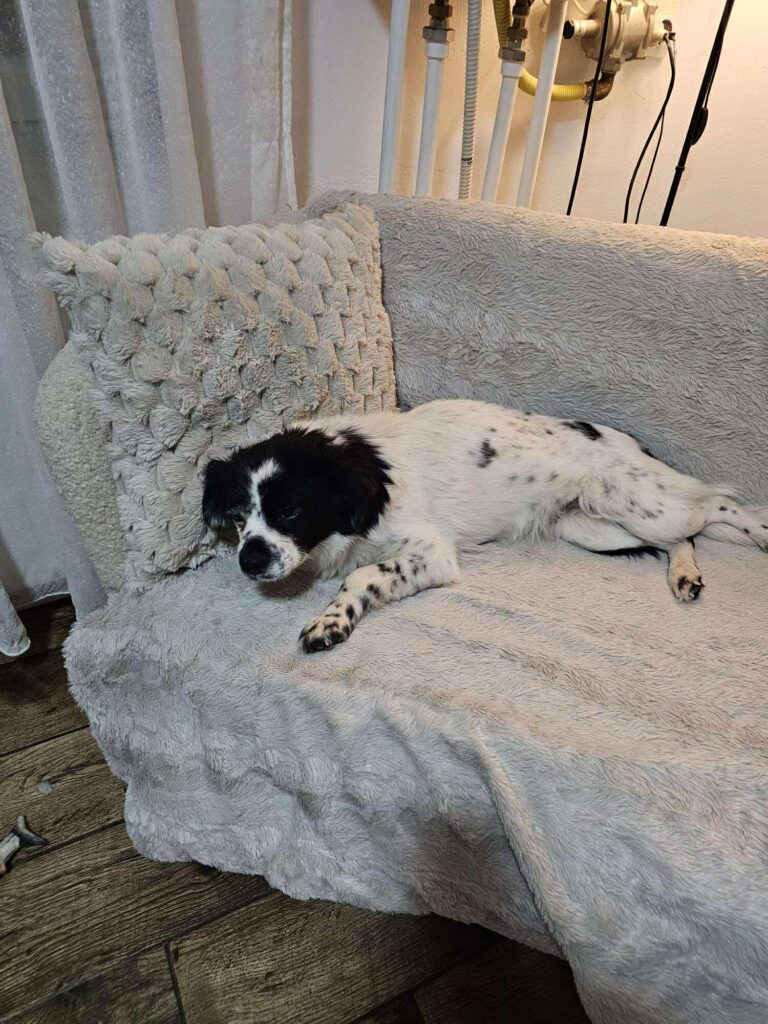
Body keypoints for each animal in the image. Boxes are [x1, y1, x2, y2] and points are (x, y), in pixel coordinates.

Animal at [202, 399, 767, 653]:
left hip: (638, 504)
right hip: (595, 529)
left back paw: (757, 536)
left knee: (717, 505)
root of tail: (629, 442)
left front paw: (331, 620)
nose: (249, 560)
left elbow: (363, 575)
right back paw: (683, 574)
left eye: (290, 512)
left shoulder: (431, 551)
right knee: (683, 536)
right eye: (238, 516)